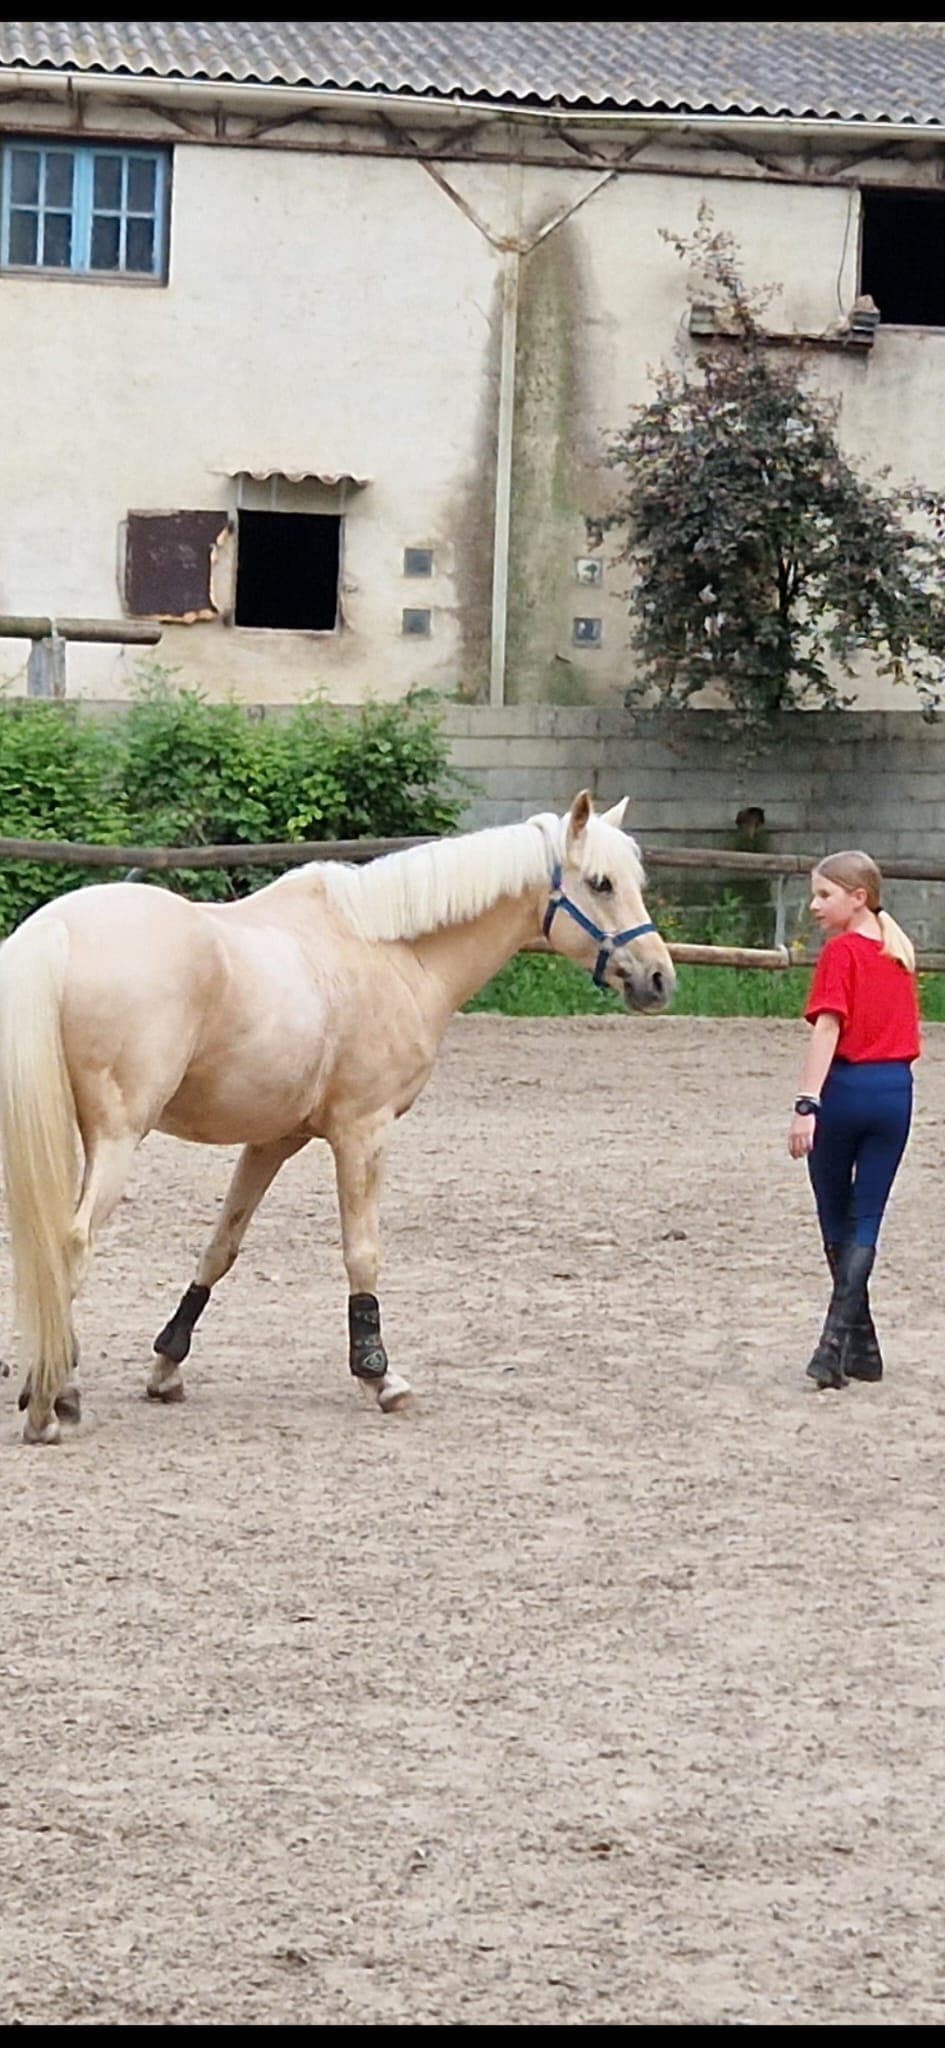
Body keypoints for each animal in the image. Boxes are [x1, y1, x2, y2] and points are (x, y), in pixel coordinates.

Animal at [0, 789, 675, 1445]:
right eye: (601, 883)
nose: (659, 978)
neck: (392, 952)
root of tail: (53, 931)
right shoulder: (362, 1131)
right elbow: (362, 1252)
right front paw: (378, 1374)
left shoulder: (274, 1140)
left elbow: (221, 1247)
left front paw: (167, 1366)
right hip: (117, 1140)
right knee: (71, 1247)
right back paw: (49, 1402)